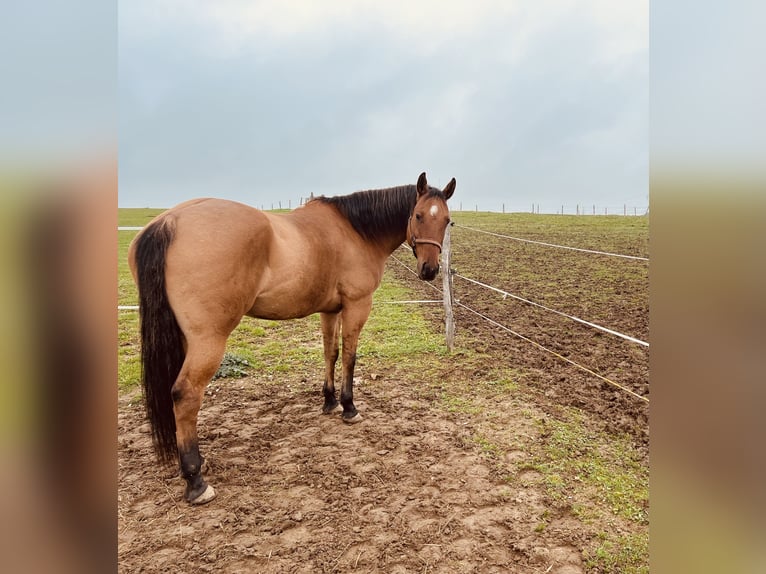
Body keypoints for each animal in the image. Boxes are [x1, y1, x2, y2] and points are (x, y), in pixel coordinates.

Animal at [128, 172, 456, 504]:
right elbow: (350, 356)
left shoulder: (330, 310)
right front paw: (349, 407)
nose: (430, 270)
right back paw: (196, 480)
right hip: (209, 339)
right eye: (418, 215)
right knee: (185, 395)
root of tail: (168, 222)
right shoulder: (356, 306)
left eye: (446, 220)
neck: (355, 231)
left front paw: (329, 401)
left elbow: (330, 353)